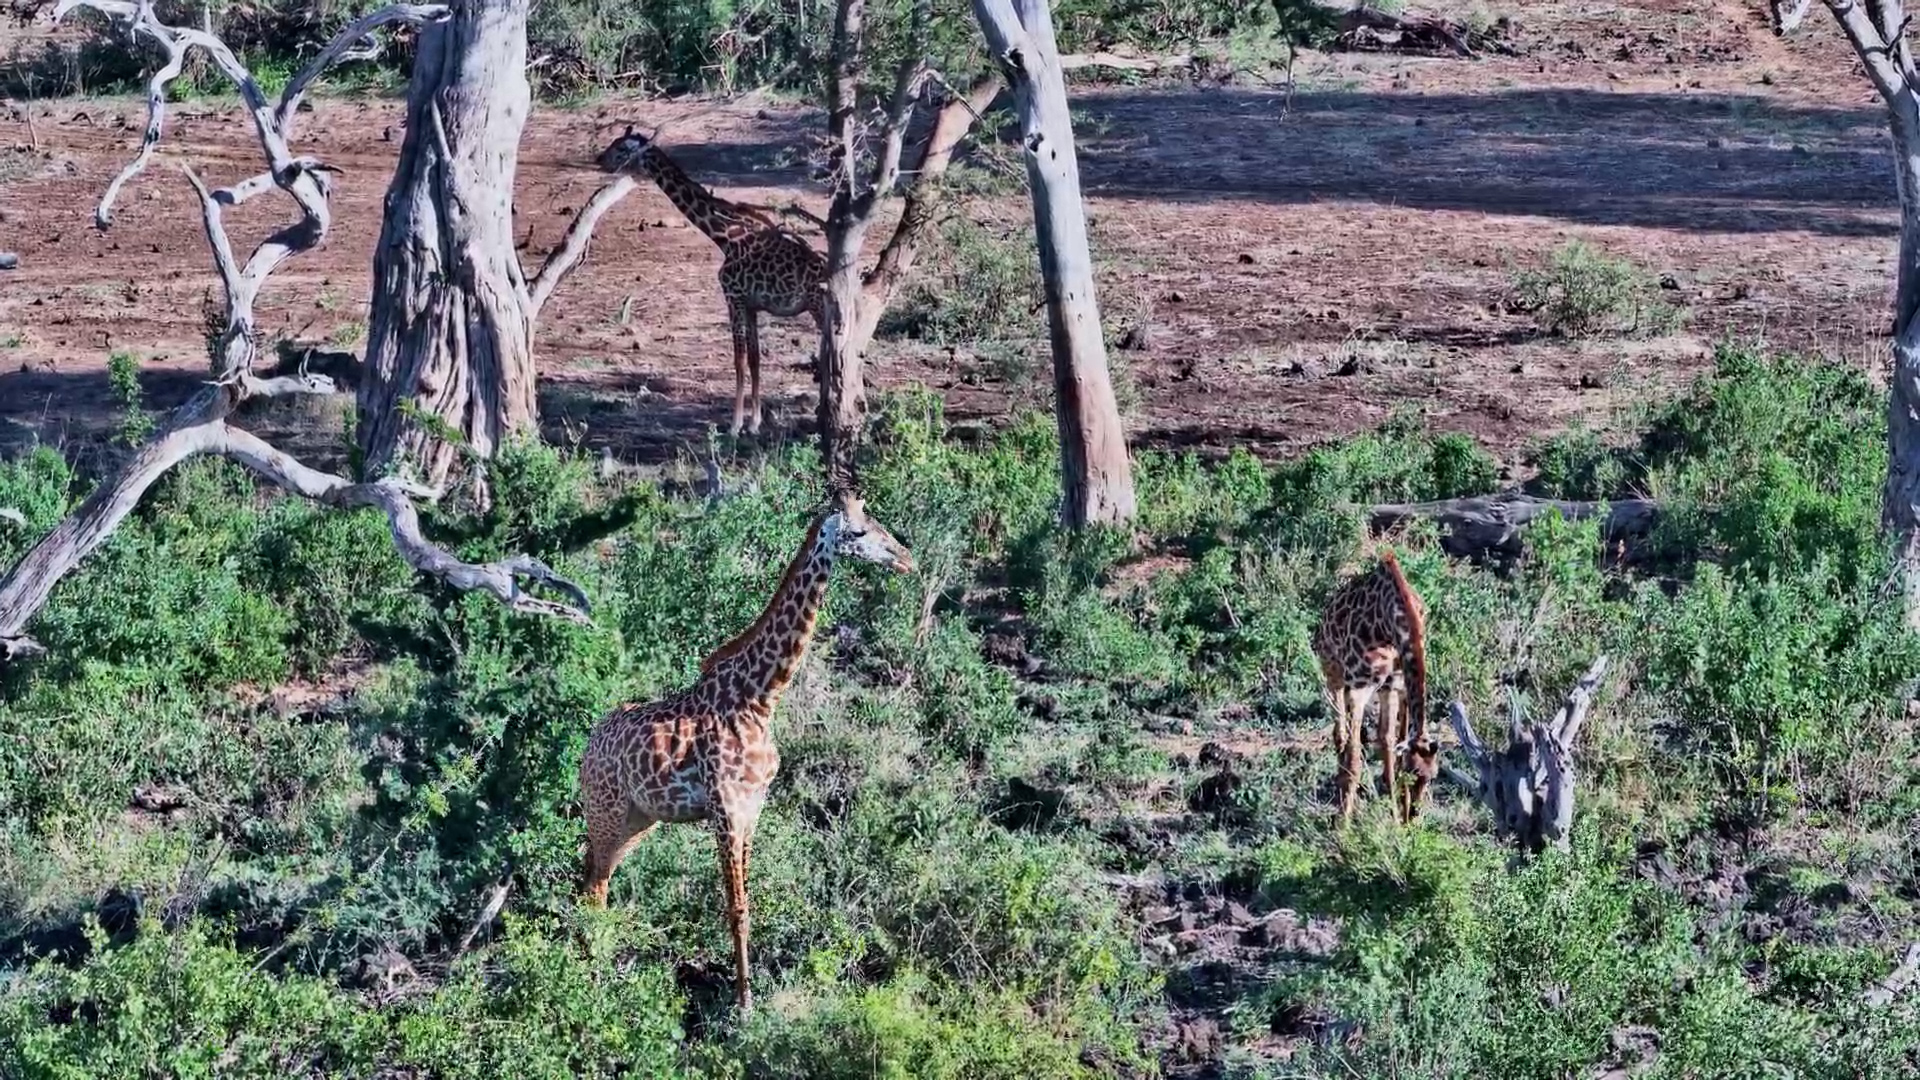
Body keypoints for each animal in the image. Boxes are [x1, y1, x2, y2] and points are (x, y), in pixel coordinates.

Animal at [578, 496, 913, 1013]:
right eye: (857, 532)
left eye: (876, 522)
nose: (905, 559)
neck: (759, 698)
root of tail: (588, 745)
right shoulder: (726, 809)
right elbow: (735, 907)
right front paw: (744, 1005)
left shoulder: (753, 808)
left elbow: (748, 904)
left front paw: (745, 995)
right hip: (607, 810)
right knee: (594, 886)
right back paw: (592, 980)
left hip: (638, 819)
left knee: (595, 879)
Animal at [598, 127, 827, 439]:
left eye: (621, 148)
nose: (600, 160)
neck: (724, 236)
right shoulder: (751, 305)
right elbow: (754, 358)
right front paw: (754, 423)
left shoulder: (733, 296)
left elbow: (738, 360)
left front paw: (735, 425)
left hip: (819, 305)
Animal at [1311, 548, 1440, 825]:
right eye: (1412, 773)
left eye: (1432, 776)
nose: (1414, 817)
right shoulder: (1359, 688)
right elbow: (1355, 757)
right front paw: (1343, 825)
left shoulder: (1392, 685)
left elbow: (1388, 745)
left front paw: (1396, 820)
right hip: (1334, 673)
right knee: (1341, 734)